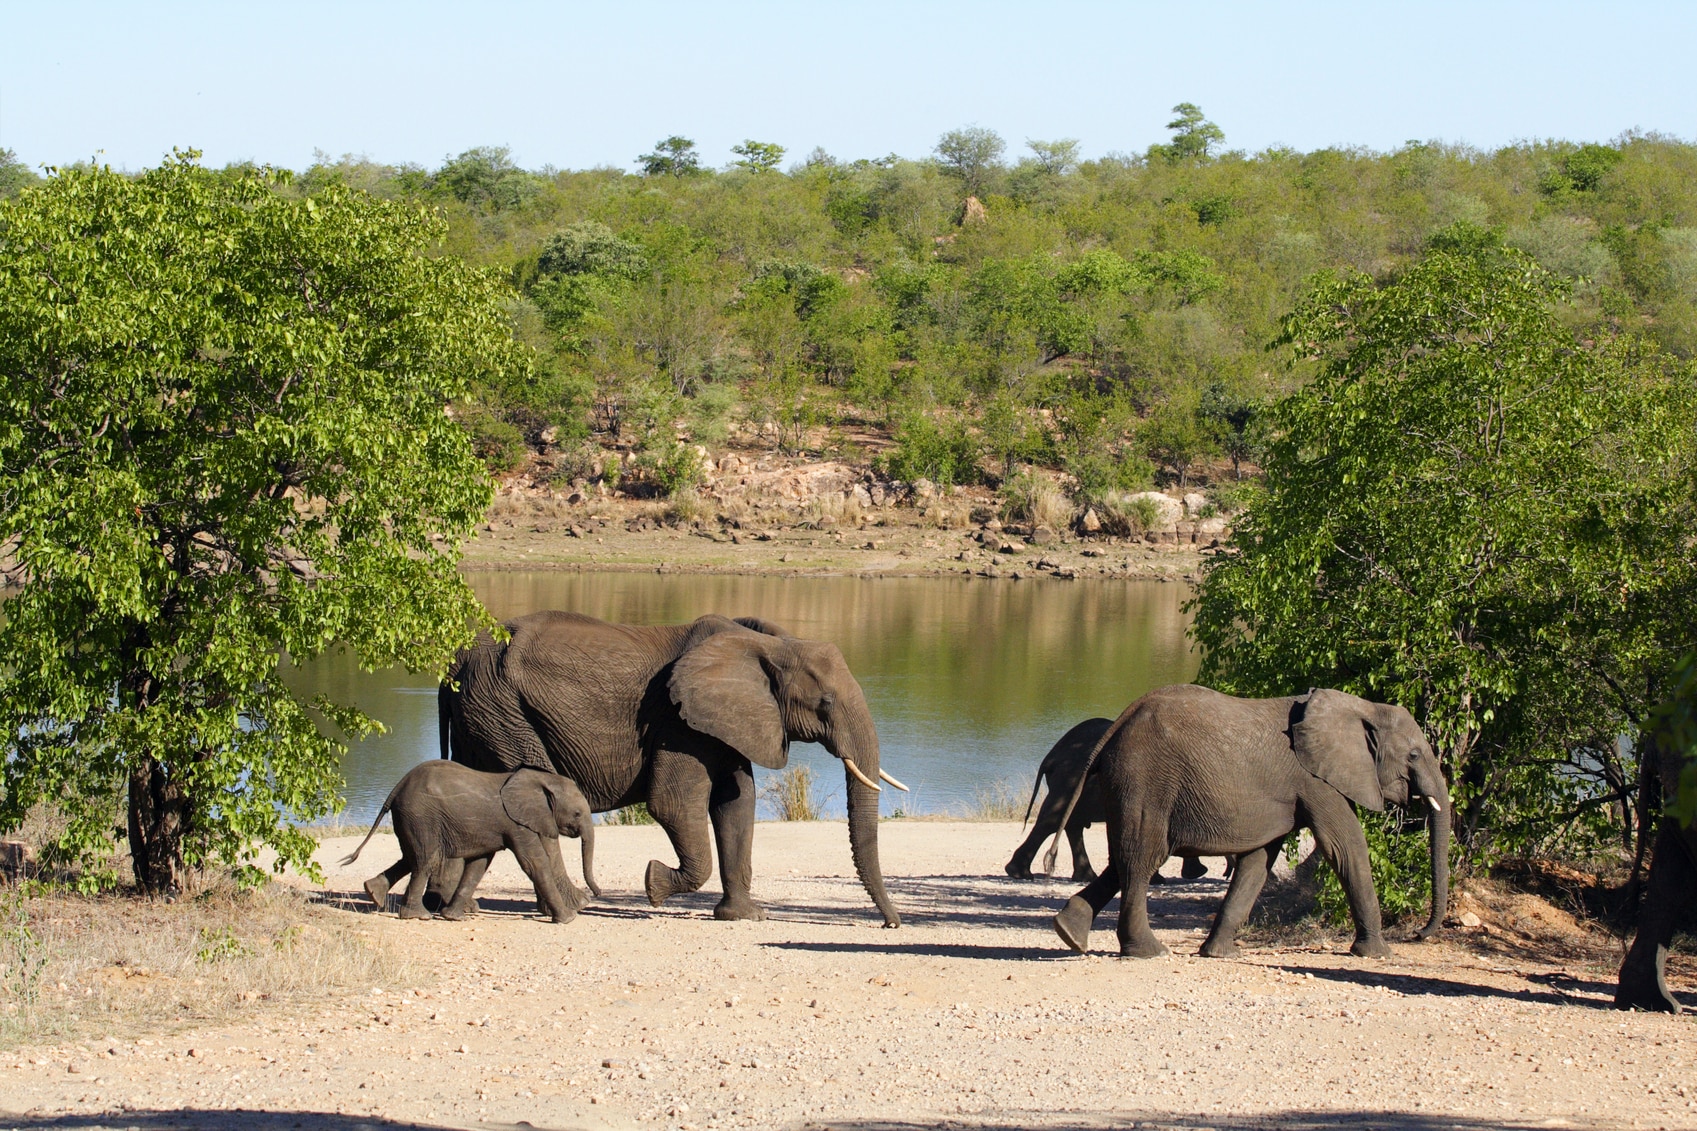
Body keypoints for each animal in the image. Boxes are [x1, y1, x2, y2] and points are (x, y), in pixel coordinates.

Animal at [341, 754, 600, 923]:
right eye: (577, 814)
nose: (597, 894)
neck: (540, 782)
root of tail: (396, 787)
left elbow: (479, 865)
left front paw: (453, 917)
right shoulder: (517, 824)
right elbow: (534, 863)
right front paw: (568, 919)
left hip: (411, 819)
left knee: (409, 857)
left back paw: (373, 893)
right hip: (420, 816)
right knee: (426, 860)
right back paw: (417, 915)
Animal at [437, 611, 902, 923]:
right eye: (825, 703)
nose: (890, 923)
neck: (767, 646)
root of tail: (458, 661)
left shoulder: (723, 722)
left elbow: (736, 805)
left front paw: (744, 916)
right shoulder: (678, 722)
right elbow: (674, 806)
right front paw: (653, 884)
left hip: (481, 714)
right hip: (503, 712)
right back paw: (573, 905)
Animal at [1052, 682, 1452, 957]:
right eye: (1414, 755)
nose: (1418, 934)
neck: (1361, 708)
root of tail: (1116, 726)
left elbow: (1258, 863)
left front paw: (1220, 954)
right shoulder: (1316, 782)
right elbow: (1346, 848)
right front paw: (1378, 954)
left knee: (1125, 859)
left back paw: (1069, 933)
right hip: (1145, 779)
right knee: (1141, 860)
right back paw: (1149, 952)